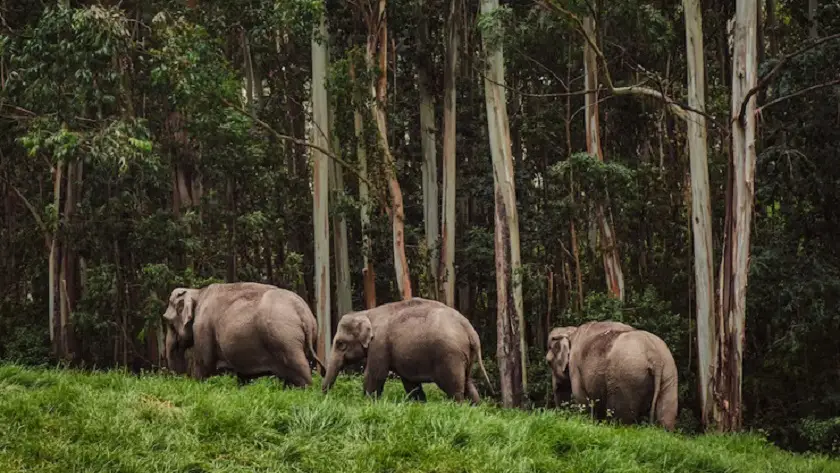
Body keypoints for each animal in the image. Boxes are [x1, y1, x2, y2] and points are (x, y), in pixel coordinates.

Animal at [161, 280, 324, 388]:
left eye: (169, 323)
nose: (180, 380)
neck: (198, 292)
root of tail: (302, 311)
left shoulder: (203, 328)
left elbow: (204, 364)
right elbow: (243, 375)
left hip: (284, 338)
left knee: (300, 368)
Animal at [320, 296, 492, 402]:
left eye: (340, 344)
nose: (324, 396)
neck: (366, 313)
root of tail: (469, 329)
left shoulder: (379, 344)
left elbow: (375, 374)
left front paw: (367, 402)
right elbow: (410, 383)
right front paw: (419, 404)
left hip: (450, 356)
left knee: (454, 389)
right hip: (465, 356)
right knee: (468, 384)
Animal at [548, 318, 680, 430]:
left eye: (548, 362)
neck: (571, 332)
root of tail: (654, 356)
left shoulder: (575, 366)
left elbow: (581, 399)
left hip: (627, 377)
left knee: (621, 417)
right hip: (669, 373)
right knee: (666, 414)